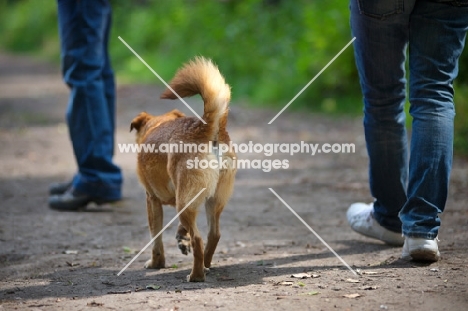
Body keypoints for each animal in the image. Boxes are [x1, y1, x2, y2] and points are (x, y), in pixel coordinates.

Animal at [130, 56, 236, 282]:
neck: (158, 124)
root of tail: (205, 128)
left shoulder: (151, 200)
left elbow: (156, 238)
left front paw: (156, 263)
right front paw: (181, 238)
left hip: (183, 204)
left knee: (198, 239)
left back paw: (196, 275)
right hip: (209, 201)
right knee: (213, 235)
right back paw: (205, 265)